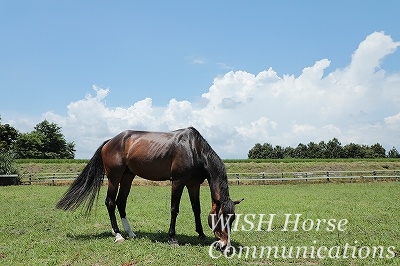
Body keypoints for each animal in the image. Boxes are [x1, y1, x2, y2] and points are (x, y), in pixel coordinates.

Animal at [56, 127, 242, 249]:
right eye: (221, 218)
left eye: (232, 219)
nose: (225, 246)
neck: (193, 148)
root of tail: (109, 141)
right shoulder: (178, 181)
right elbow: (174, 208)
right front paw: (172, 238)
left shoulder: (193, 184)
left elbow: (196, 208)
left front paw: (201, 234)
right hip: (114, 178)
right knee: (110, 202)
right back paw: (118, 235)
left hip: (127, 177)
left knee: (121, 202)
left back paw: (130, 233)